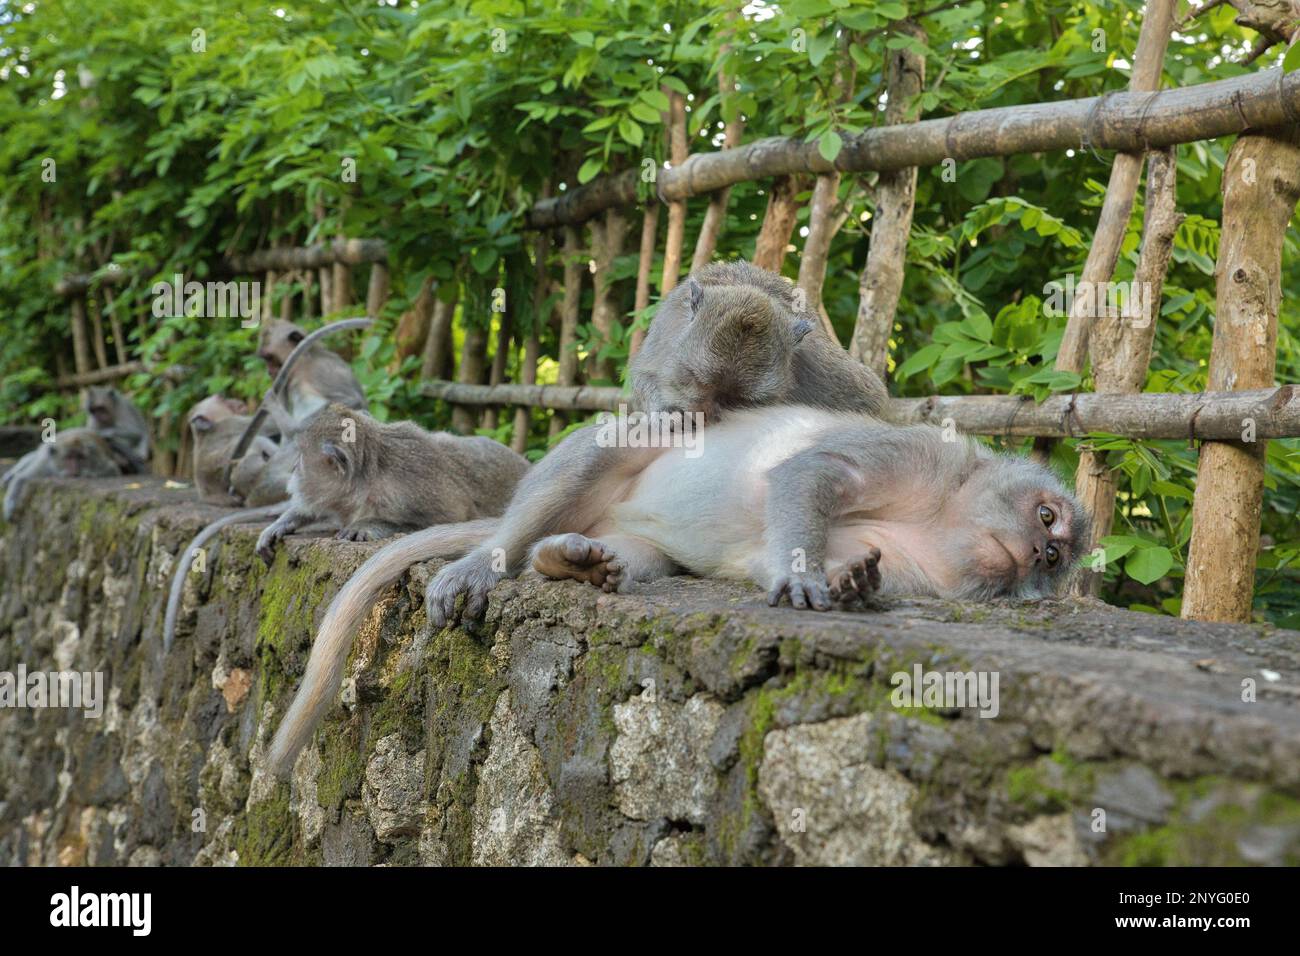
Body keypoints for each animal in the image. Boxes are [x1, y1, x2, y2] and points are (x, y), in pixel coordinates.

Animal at [254, 403, 530, 564]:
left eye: (301, 456)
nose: (294, 470)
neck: (369, 480)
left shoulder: (408, 488)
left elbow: (451, 519)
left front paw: (369, 525)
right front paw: (282, 523)